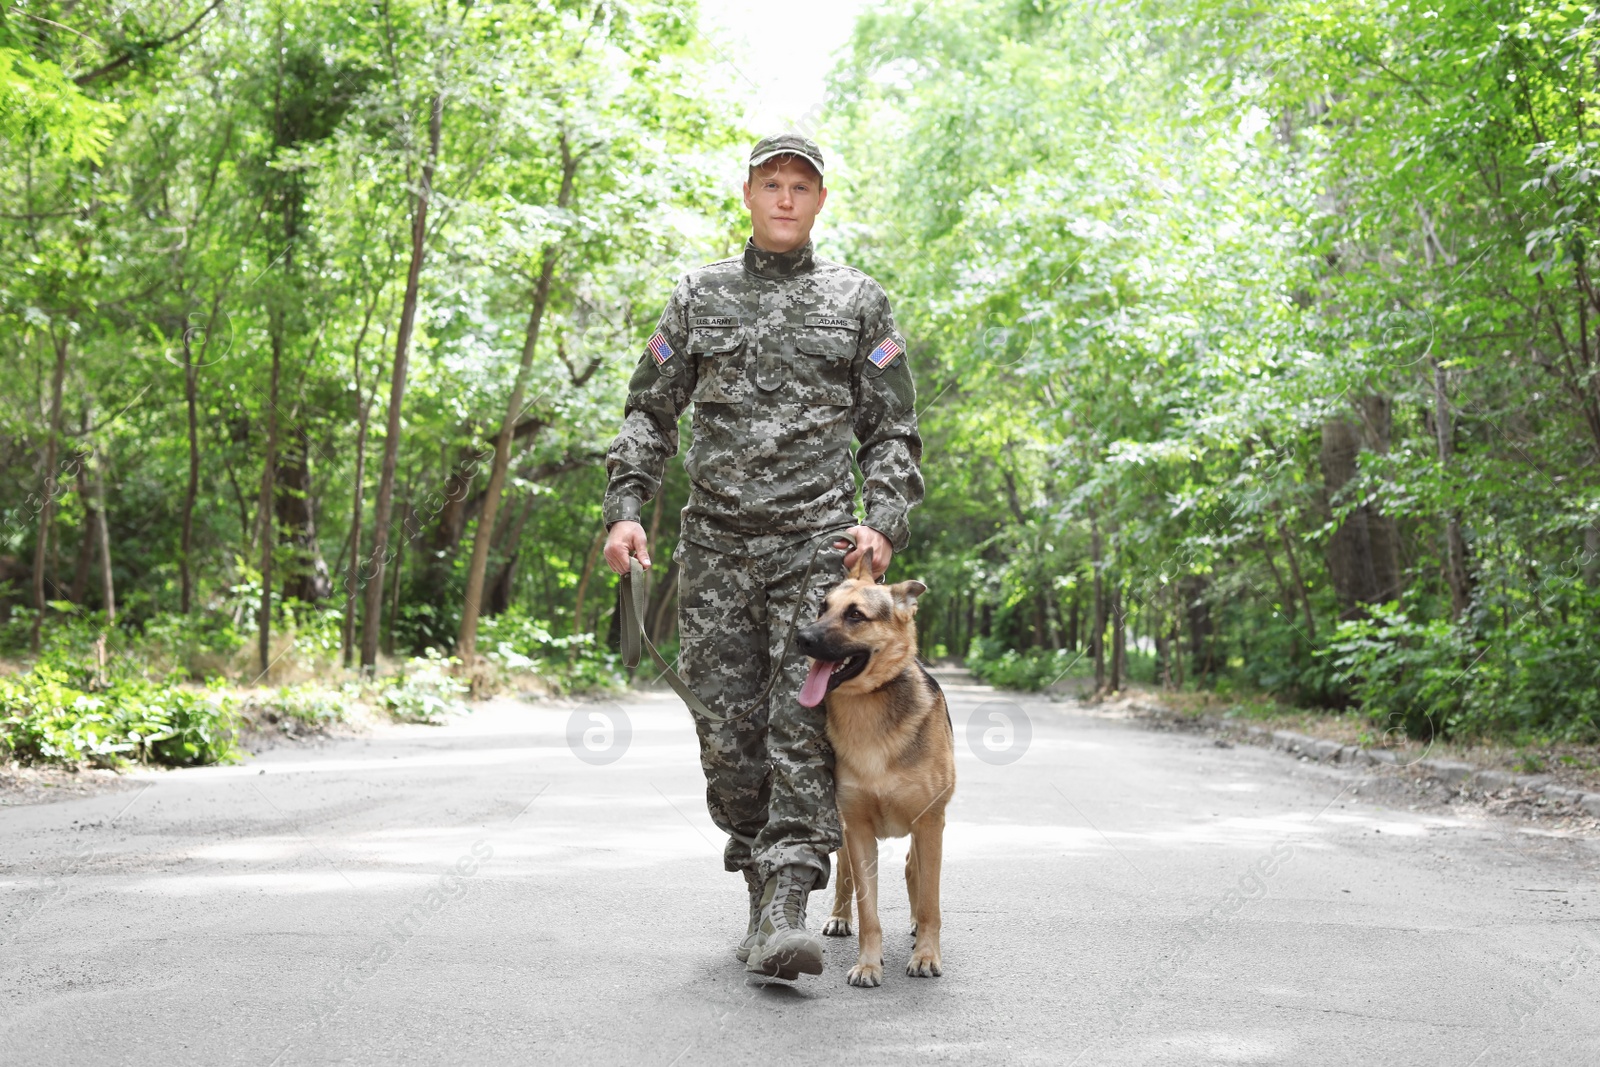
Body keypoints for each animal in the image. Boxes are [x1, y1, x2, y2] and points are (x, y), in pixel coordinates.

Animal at [793, 550, 953, 991]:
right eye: (822, 607)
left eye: (855, 615)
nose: (801, 637)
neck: (868, 709)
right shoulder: (859, 829)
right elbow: (868, 910)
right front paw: (868, 964)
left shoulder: (930, 822)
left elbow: (930, 900)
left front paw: (926, 956)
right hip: (845, 830)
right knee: (845, 875)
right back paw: (839, 917)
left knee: (915, 870)